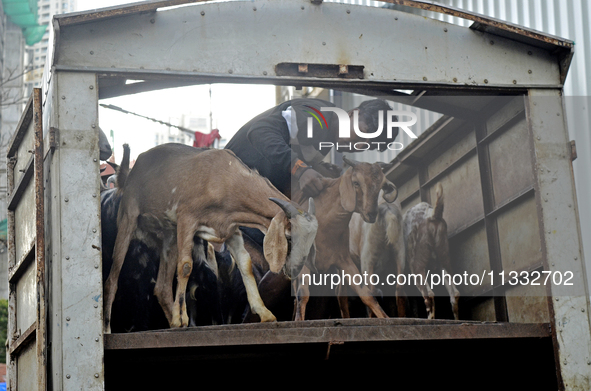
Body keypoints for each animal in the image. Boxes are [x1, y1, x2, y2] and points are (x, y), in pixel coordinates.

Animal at [106, 144, 320, 334]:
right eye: (289, 236)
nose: (294, 269)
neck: (224, 179)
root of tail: (131, 172)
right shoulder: (187, 219)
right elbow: (185, 266)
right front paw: (182, 318)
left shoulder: (231, 229)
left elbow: (245, 264)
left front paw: (265, 313)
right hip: (128, 217)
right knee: (113, 277)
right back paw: (108, 328)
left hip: (169, 235)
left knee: (162, 287)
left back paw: (172, 322)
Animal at [292, 156, 398, 322]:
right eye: (356, 183)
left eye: (381, 185)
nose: (372, 214)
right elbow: (302, 294)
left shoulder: (343, 260)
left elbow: (366, 294)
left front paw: (385, 318)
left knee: (340, 293)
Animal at [404, 182, 460, 320]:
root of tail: (432, 215)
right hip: (444, 259)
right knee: (455, 293)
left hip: (416, 265)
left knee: (428, 294)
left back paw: (430, 319)